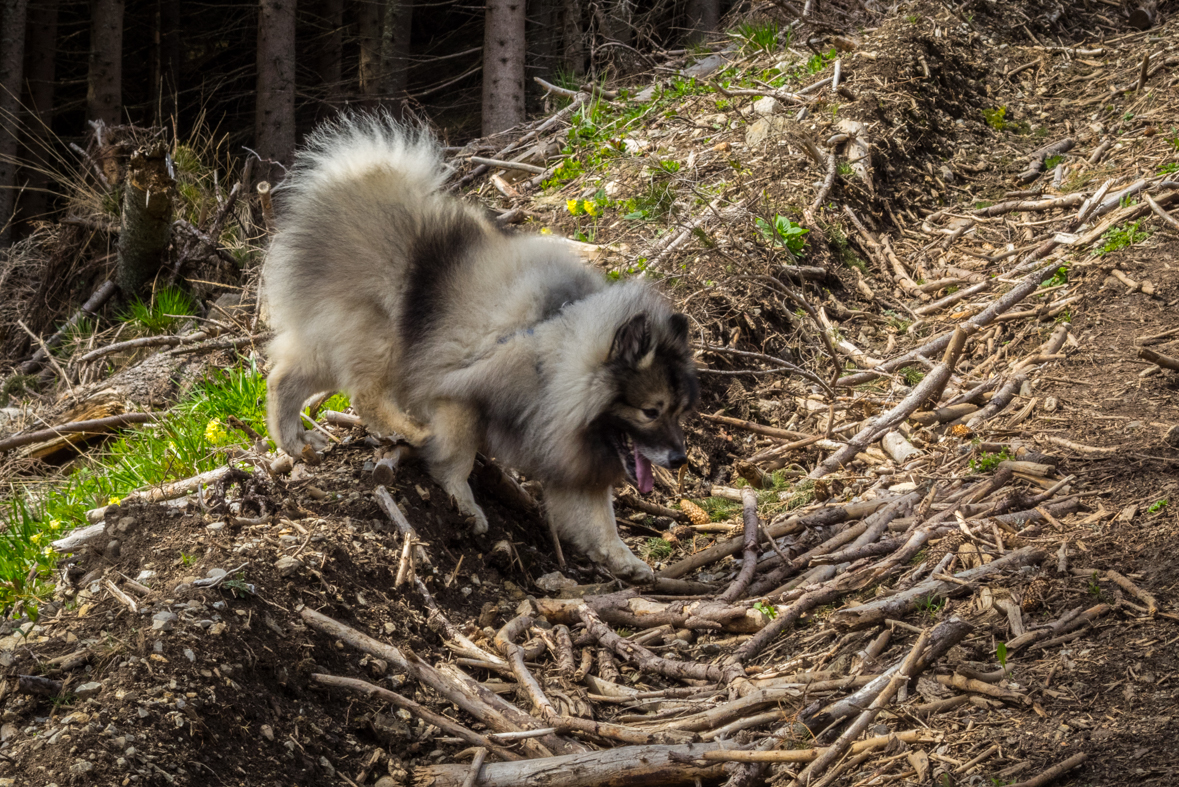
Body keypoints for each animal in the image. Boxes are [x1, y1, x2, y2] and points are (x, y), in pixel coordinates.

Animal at [262, 115, 693, 584]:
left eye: (677, 411)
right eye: (650, 411)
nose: (680, 459)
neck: (552, 350)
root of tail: (351, 189)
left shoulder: (564, 450)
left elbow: (599, 518)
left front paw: (623, 559)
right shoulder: (459, 393)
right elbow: (457, 458)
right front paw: (465, 504)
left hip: (335, 344)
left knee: (283, 377)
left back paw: (293, 441)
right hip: (383, 341)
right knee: (364, 395)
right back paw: (408, 430)